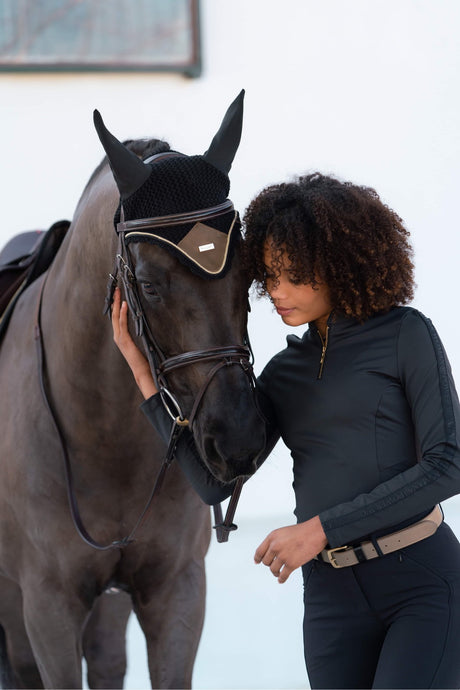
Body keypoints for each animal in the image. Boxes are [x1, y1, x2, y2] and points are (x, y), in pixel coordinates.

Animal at [0, 92, 264, 688]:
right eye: (146, 284)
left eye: (250, 273)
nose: (237, 438)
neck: (103, 432)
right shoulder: (47, 607)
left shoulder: (176, 590)